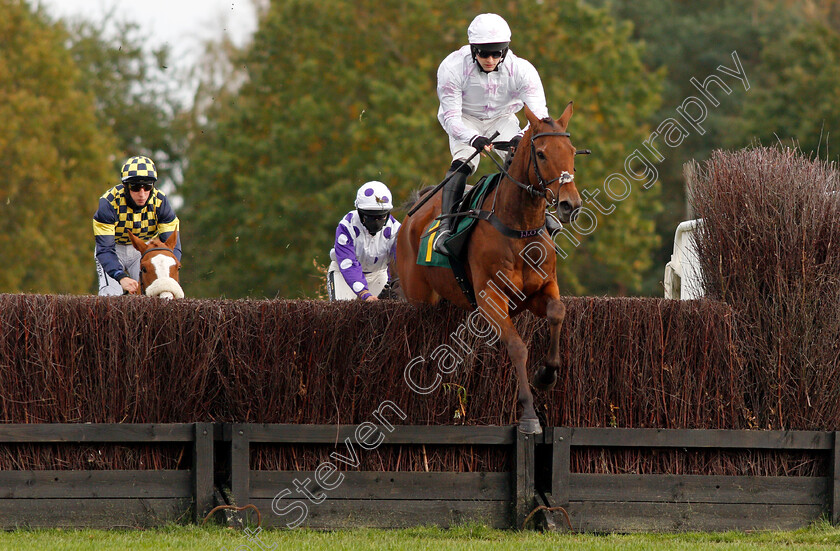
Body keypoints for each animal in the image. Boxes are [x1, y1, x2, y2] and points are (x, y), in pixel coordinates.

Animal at [398, 101, 584, 434]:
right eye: (541, 154)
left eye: (572, 151)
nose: (569, 205)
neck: (519, 229)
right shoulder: (490, 299)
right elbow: (518, 347)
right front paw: (529, 415)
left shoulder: (541, 290)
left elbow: (557, 312)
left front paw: (546, 375)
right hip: (417, 296)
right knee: (460, 166)